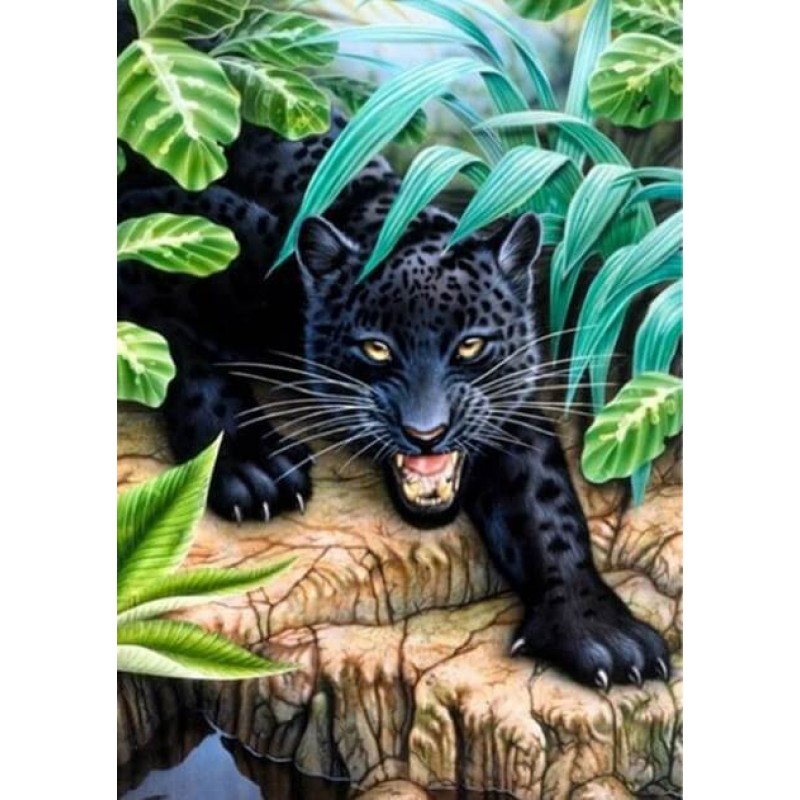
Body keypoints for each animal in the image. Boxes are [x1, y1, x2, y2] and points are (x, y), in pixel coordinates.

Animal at [117, 25, 670, 693]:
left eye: (471, 345)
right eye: (376, 348)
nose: (426, 432)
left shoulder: (509, 403)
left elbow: (548, 505)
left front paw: (598, 631)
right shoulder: (155, 236)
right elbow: (181, 355)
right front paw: (254, 466)